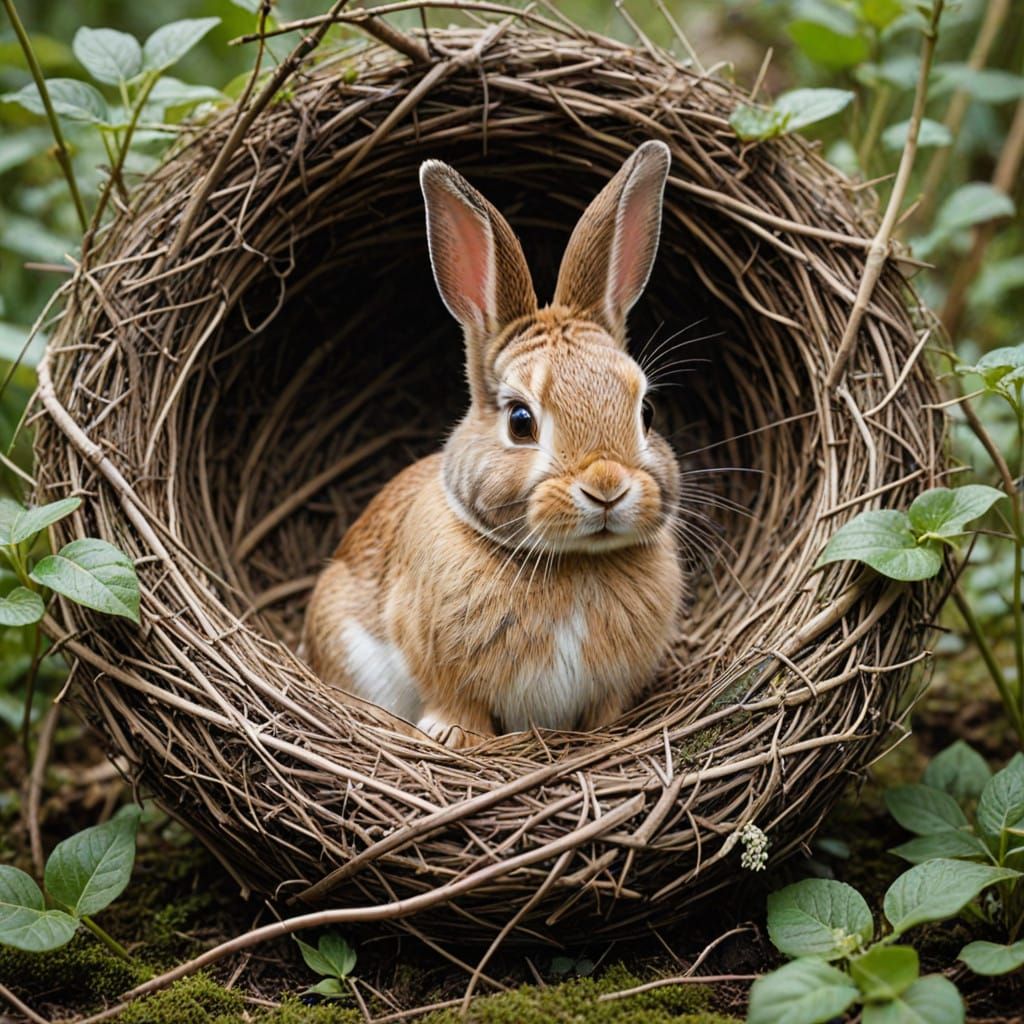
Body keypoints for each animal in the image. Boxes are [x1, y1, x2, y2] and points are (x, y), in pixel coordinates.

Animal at [303, 140, 684, 748]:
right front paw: (452, 736)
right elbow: (456, 701)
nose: (606, 486)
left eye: (645, 412)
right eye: (521, 421)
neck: (573, 562)